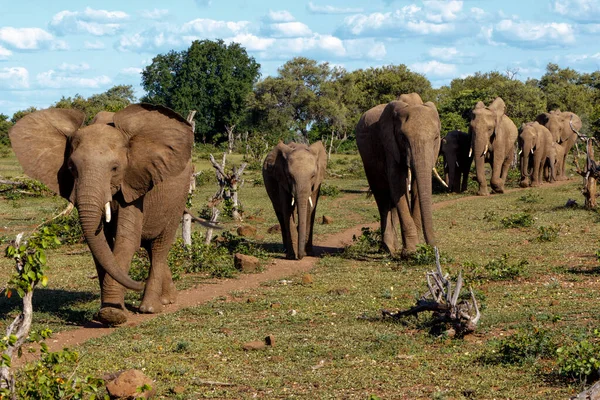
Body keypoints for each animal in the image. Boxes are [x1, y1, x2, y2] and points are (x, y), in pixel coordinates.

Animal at [8, 104, 192, 324]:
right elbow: (99, 244)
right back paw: (167, 300)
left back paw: (150, 308)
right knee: (150, 247)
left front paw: (112, 315)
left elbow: (126, 240)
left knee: (160, 246)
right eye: (71, 167)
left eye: (115, 168)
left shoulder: (132, 185)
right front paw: (106, 314)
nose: (136, 282)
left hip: (179, 197)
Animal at [356, 92, 440, 255]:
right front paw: (411, 252)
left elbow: (416, 188)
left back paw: (392, 247)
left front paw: (416, 249)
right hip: (367, 157)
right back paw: (388, 248)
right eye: (403, 138)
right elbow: (398, 186)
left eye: (436, 138)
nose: (433, 249)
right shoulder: (389, 145)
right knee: (382, 196)